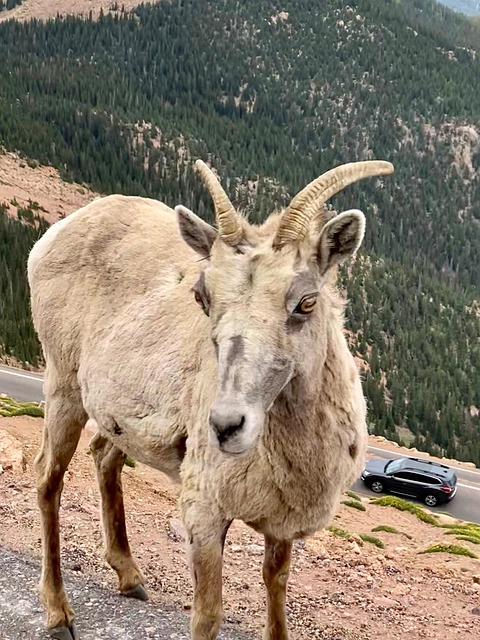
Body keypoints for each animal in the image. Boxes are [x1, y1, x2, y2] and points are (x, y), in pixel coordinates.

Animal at [28, 157, 393, 640]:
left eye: (307, 302)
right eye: (203, 296)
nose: (225, 426)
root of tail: (57, 233)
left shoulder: (280, 526)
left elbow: (275, 591)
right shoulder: (203, 514)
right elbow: (207, 617)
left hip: (119, 419)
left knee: (104, 457)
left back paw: (131, 579)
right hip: (64, 388)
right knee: (48, 479)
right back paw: (58, 614)